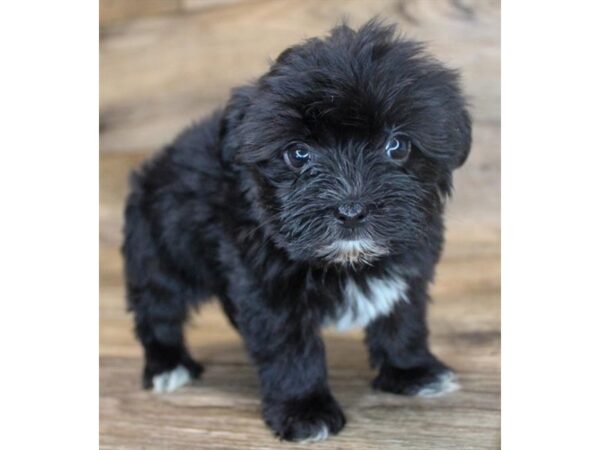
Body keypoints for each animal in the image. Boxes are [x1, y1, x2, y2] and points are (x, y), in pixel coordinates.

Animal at [123, 19, 468, 442]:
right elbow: (289, 347)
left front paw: (412, 371)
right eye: (298, 153)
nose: (351, 210)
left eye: (397, 146)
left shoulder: (409, 267)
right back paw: (167, 364)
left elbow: (403, 320)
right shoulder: (267, 286)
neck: (346, 262)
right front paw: (305, 410)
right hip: (160, 249)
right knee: (158, 307)